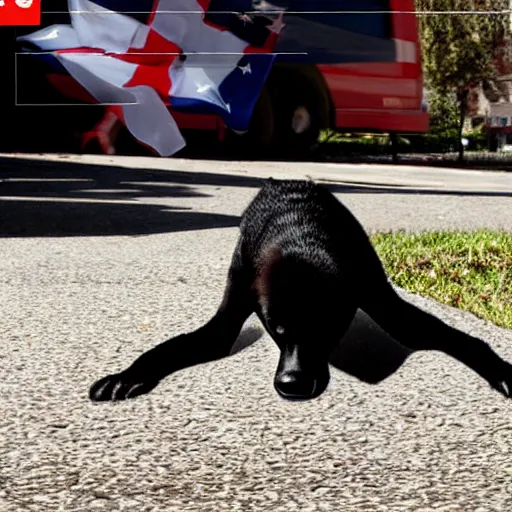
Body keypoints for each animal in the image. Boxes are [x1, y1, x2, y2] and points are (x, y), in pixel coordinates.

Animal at [89, 178, 512, 402]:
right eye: (276, 329)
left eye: (326, 328)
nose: (291, 385)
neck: (301, 237)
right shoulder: (236, 298)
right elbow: (171, 347)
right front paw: (126, 374)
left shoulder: (375, 290)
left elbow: (460, 339)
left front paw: (503, 370)